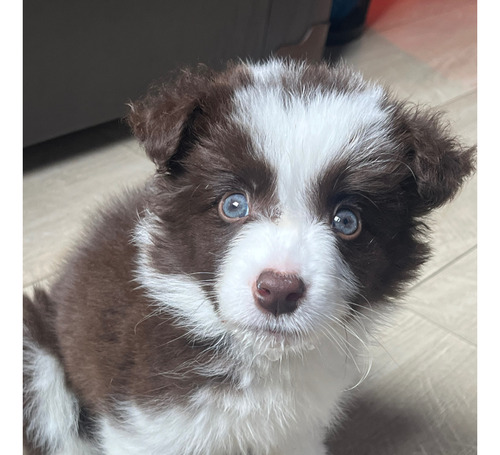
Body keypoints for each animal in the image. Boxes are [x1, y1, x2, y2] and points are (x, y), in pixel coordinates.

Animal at [23, 58, 474, 454]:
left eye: (348, 221)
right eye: (233, 204)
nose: (279, 291)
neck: (260, 361)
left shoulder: (297, 432)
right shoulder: (147, 429)